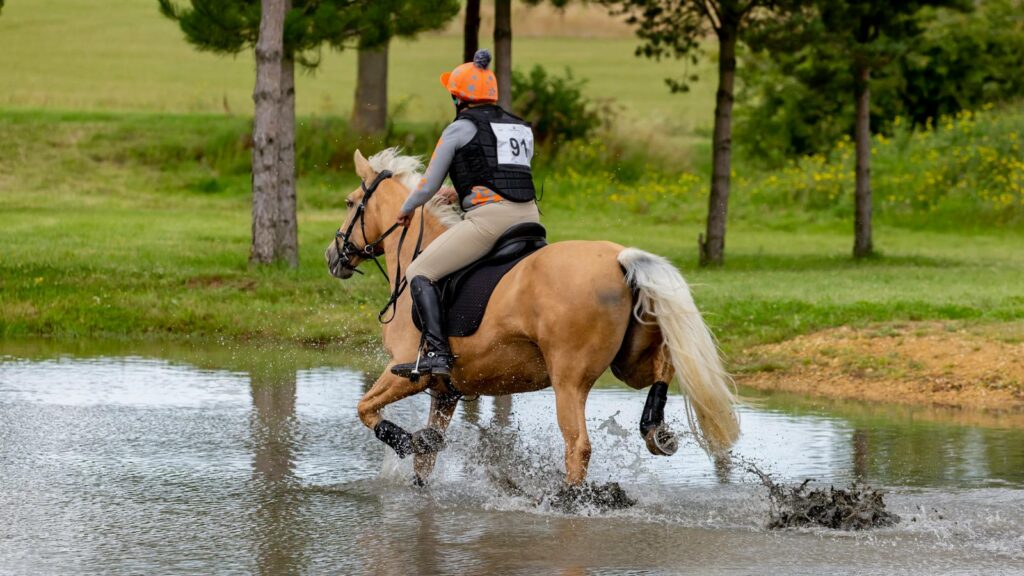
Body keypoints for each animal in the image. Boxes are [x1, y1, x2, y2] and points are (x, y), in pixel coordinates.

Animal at [325, 148, 740, 487]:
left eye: (349, 202)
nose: (333, 256)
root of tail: (620, 258)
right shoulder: (447, 392)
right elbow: (424, 461)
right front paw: (422, 452)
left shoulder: (406, 371)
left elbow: (365, 409)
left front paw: (407, 440)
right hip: (629, 362)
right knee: (663, 367)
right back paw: (654, 429)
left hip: (569, 379)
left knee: (578, 446)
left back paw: (571, 500)